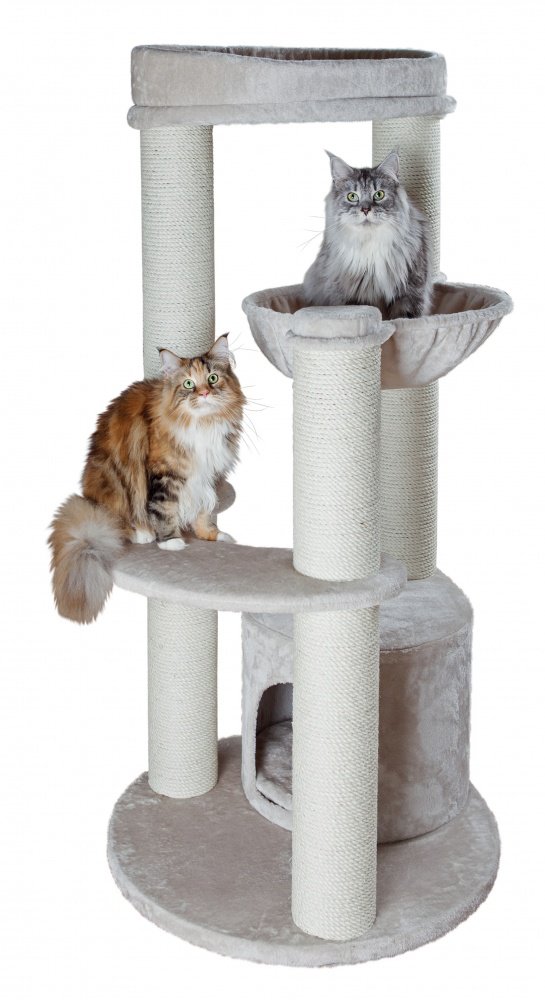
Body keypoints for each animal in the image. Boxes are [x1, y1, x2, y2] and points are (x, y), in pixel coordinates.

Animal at [49, 334, 245, 624]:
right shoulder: (165, 474)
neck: (203, 424)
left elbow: (206, 511)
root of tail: (88, 500)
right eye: (188, 384)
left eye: (212, 378)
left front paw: (213, 536)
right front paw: (171, 541)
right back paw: (142, 533)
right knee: (121, 522)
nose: (204, 393)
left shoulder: (208, 476)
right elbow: (165, 510)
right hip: (116, 486)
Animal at [303, 150, 432, 319]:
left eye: (379, 194)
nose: (365, 209)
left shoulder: (411, 291)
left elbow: (403, 317)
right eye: (352, 196)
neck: (370, 244)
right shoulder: (344, 295)